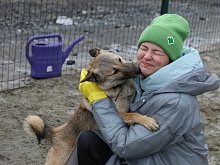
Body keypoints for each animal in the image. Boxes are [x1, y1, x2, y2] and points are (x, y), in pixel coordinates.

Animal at [23, 47, 159, 165]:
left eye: (119, 59)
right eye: (114, 71)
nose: (138, 70)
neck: (118, 86)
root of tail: (55, 134)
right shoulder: (118, 114)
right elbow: (133, 114)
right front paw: (147, 121)